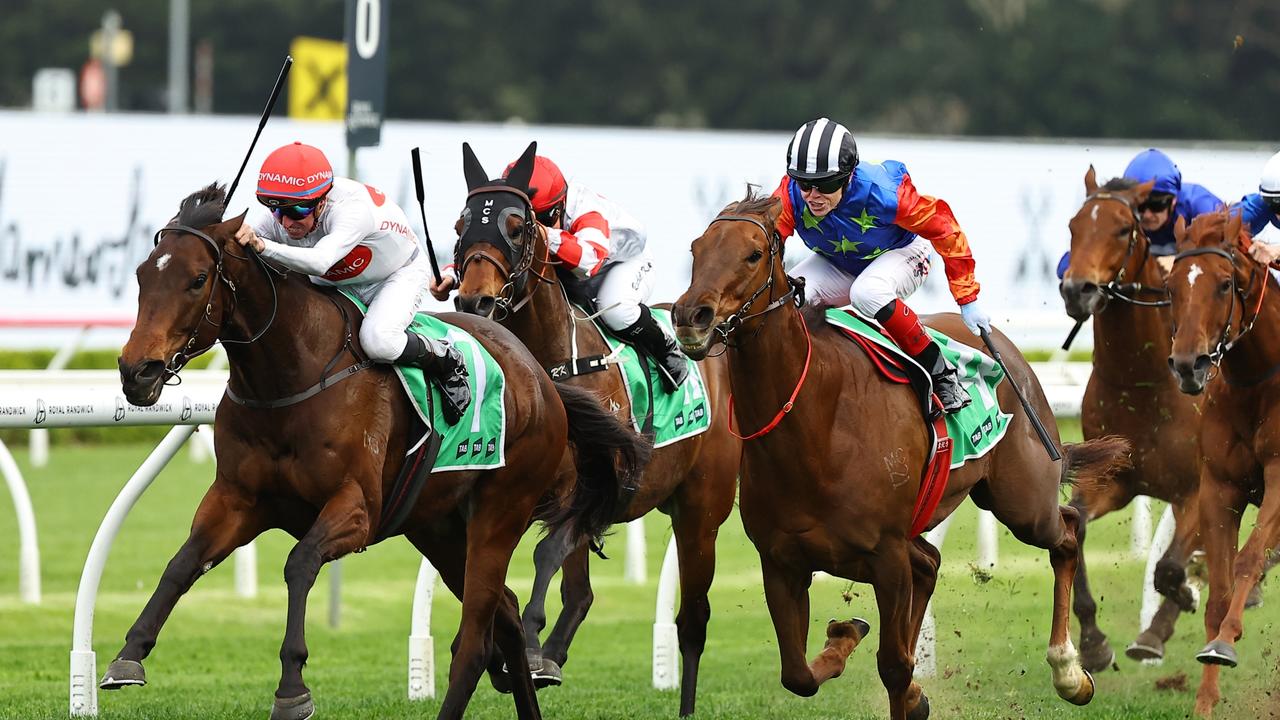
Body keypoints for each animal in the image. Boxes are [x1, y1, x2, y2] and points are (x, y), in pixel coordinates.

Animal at [110, 183, 650, 717]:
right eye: (141, 274)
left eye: (198, 279)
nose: (137, 371)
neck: (291, 378)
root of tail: (541, 378)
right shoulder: (238, 499)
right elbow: (182, 564)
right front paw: (128, 655)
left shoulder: (358, 509)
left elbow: (299, 563)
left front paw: (292, 686)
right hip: (438, 528)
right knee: (509, 616)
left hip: (501, 511)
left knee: (475, 641)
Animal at [450, 140, 742, 712]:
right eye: (461, 223)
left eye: (517, 226)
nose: (474, 300)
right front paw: (512, 655)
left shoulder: (590, 491)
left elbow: (545, 555)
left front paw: (532, 648)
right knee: (582, 592)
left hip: (702, 511)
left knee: (692, 618)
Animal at [670, 190, 1131, 717]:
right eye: (695, 249)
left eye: (753, 254)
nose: (690, 317)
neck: (815, 424)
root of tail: (1012, 354)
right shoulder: (781, 561)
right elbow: (799, 675)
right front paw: (849, 637)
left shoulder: (886, 556)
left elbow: (893, 665)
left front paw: (898, 680)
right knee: (930, 562)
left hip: (1022, 500)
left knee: (1067, 532)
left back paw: (1070, 672)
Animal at [1059, 165, 1208, 666]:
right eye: (1073, 226)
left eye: (1124, 229)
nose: (1077, 290)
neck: (1143, 382)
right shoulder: (1112, 481)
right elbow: (1076, 524)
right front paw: (1092, 641)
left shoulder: (1195, 490)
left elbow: (1169, 568)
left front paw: (1180, 601)